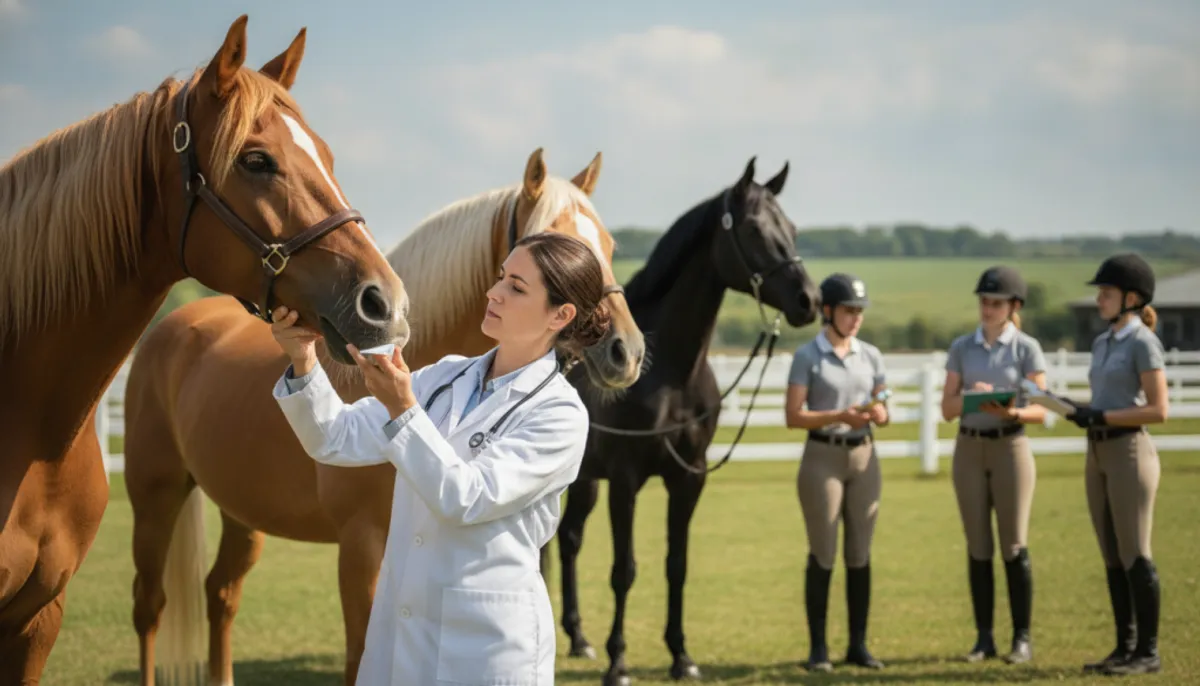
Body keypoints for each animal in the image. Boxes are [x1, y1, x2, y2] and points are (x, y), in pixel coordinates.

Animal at [0, 15, 410, 685]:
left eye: (326, 156)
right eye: (256, 160)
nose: (387, 305)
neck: (29, 431)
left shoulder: (39, 616)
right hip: (155, 498)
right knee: (150, 605)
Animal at [541, 157, 821, 686]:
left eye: (793, 229)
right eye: (754, 229)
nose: (808, 300)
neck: (670, 373)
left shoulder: (688, 478)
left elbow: (678, 565)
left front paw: (681, 655)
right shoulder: (626, 480)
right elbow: (624, 569)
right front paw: (619, 662)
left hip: (585, 481)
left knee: (568, 540)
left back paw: (579, 638)